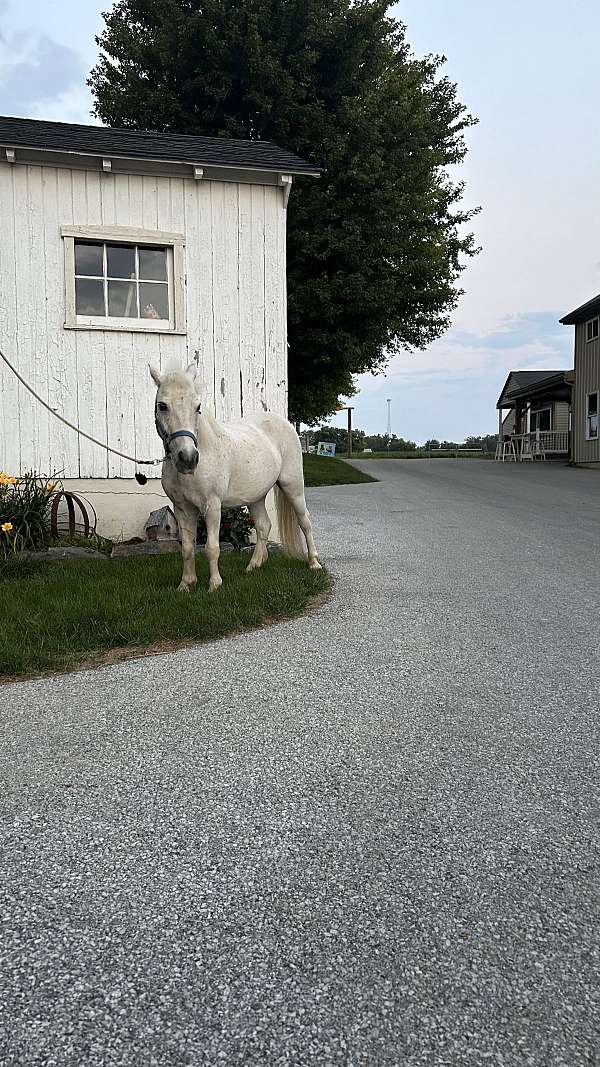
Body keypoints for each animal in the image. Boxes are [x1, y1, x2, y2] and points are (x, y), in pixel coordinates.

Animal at [148, 362, 318, 588]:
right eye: (162, 406)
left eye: (197, 407)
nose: (188, 458)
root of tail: (285, 423)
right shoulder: (183, 508)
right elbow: (187, 547)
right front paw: (186, 584)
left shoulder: (212, 506)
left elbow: (212, 547)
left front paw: (215, 585)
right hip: (256, 497)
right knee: (263, 526)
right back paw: (253, 566)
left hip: (293, 487)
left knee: (305, 521)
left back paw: (314, 563)